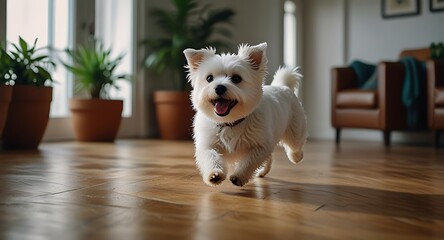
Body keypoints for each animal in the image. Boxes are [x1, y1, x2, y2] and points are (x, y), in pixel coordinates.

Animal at [183, 42, 306, 187]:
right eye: (209, 78)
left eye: (236, 78)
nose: (219, 87)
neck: (230, 122)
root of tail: (283, 85)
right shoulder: (208, 145)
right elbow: (211, 157)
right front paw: (214, 174)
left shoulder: (259, 146)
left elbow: (249, 162)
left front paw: (238, 177)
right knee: (269, 157)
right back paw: (262, 171)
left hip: (295, 130)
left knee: (295, 145)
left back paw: (296, 157)